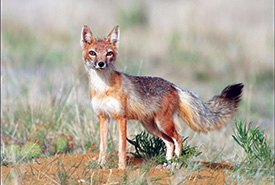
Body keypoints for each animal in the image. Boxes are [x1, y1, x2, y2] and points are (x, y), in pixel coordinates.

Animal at [80, 24, 244, 169]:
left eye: (109, 53)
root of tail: (173, 86)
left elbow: (121, 148)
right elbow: (102, 147)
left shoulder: (122, 117)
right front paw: (100, 165)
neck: (103, 88)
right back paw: (166, 164)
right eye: (92, 53)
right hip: (152, 127)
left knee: (178, 139)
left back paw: (175, 164)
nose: (101, 64)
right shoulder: (103, 117)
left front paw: (121, 169)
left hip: (163, 124)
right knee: (169, 142)